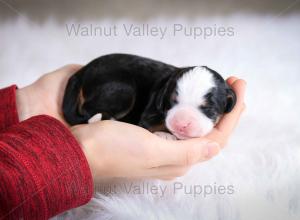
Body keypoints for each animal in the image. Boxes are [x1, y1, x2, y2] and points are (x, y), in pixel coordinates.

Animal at [62, 53, 237, 139]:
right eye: (172, 102)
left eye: (209, 109)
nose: (181, 124)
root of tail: (83, 71)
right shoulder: (149, 116)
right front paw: (165, 135)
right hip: (123, 91)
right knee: (87, 110)